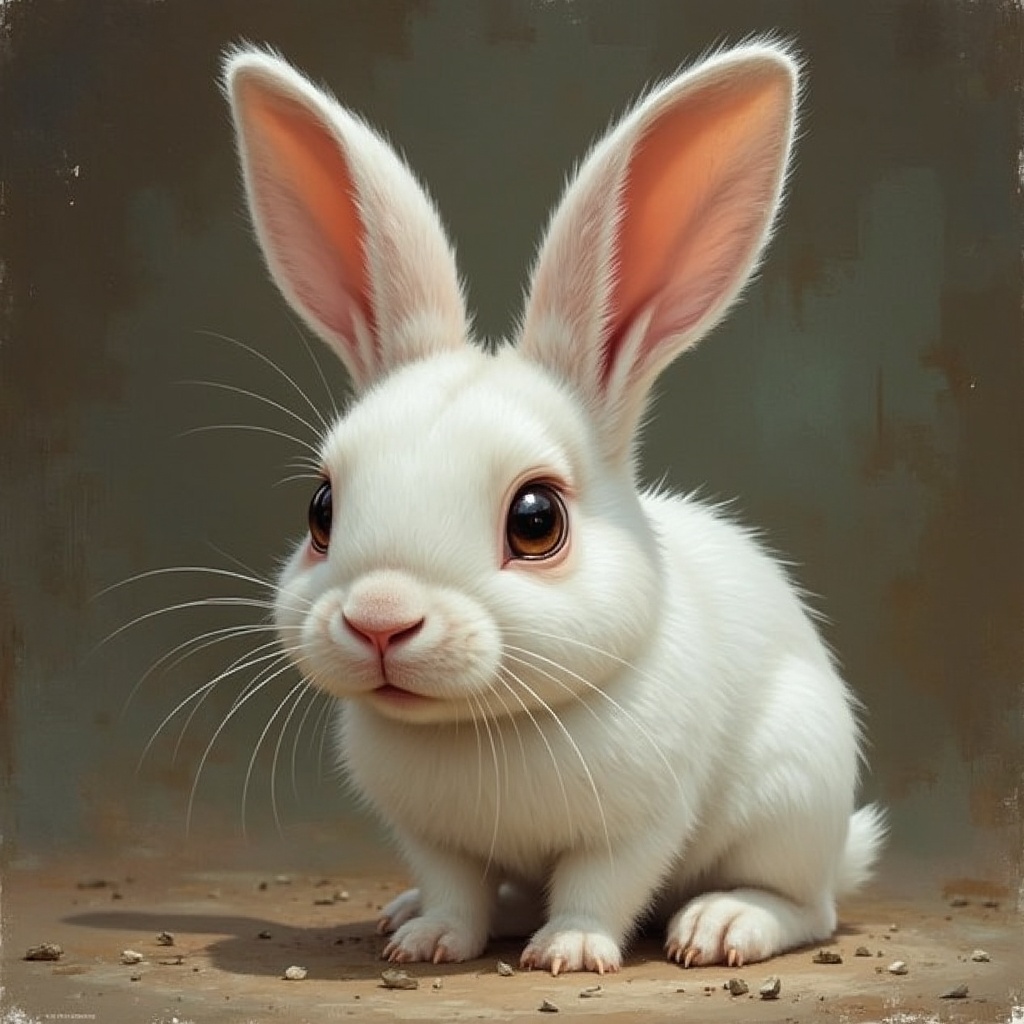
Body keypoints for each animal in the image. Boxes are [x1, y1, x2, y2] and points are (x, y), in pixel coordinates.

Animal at [223, 40, 885, 976]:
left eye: (536, 521)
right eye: (320, 509)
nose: (380, 619)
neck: (479, 725)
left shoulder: (639, 825)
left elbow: (600, 888)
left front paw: (569, 952)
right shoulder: (433, 838)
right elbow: (454, 887)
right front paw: (430, 941)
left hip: (790, 795)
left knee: (807, 907)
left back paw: (722, 926)